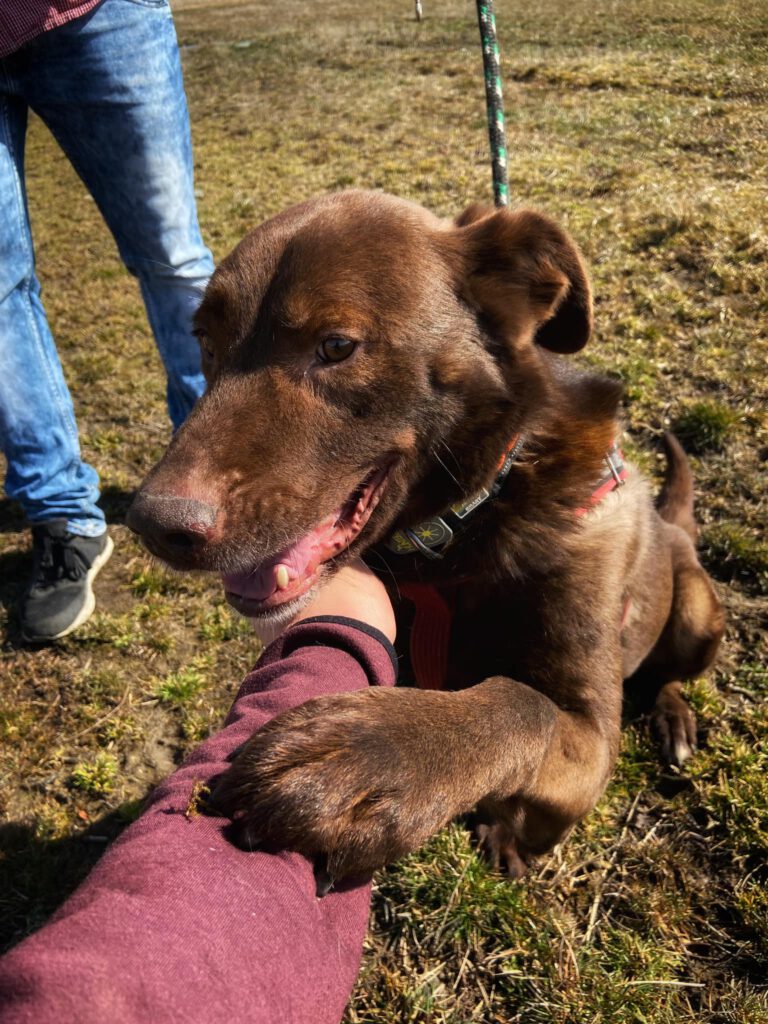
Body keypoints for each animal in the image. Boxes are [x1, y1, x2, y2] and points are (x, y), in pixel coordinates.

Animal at [128, 190, 729, 880]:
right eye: (204, 339)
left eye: (336, 346)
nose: (153, 523)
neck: (455, 539)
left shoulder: (591, 730)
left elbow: (524, 705)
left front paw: (370, 757)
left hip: (698, 613)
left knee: (669, 671)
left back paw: (672, 713)